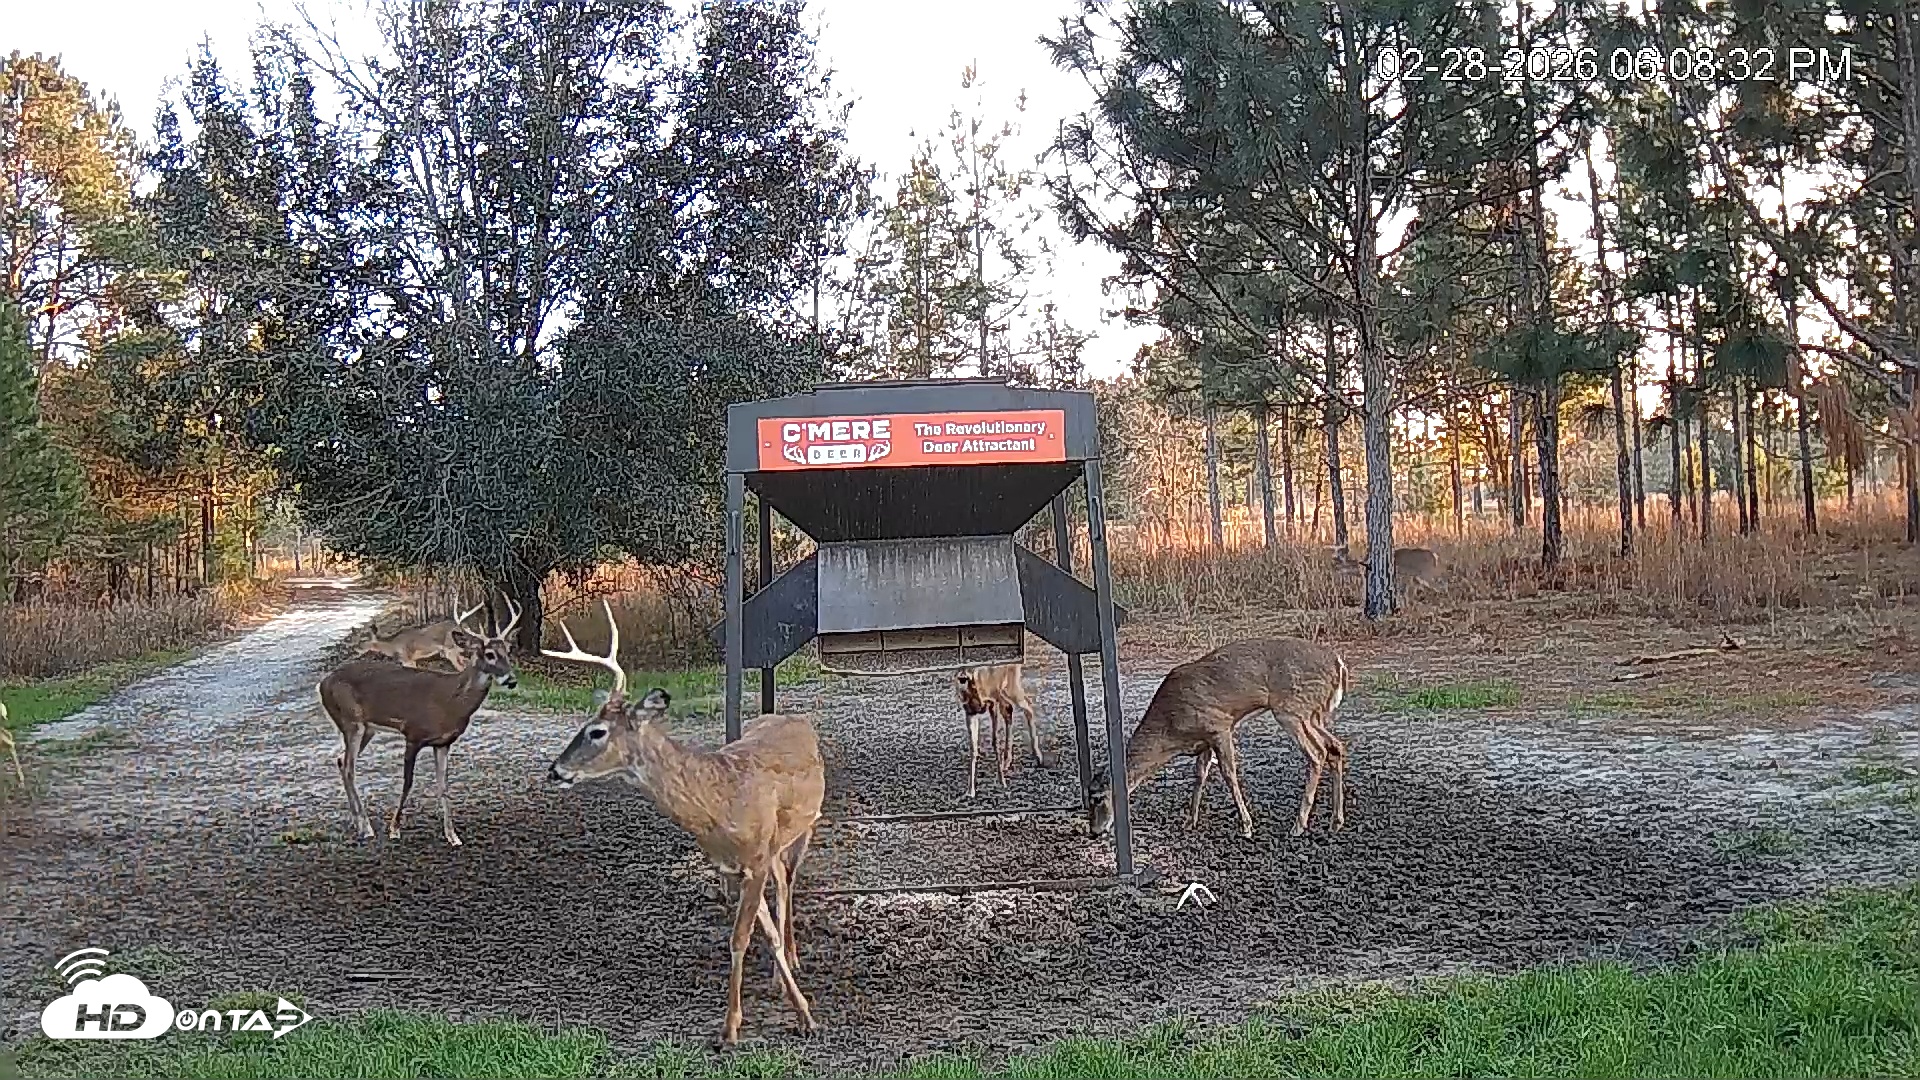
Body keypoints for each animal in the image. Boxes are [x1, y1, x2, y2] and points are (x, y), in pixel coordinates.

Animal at [541, 600, 823, 1045]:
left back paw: (792, 962)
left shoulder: (756, 860)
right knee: (783, 883)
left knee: (790, 880)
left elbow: (739, 938)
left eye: (596, 731)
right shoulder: (737, 866)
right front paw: (792, 1005)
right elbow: (763, 935)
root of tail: (796, 718)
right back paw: (783, 971)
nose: (556, 770)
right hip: (778, 844)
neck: (719, 805)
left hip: (804, 830)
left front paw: (734, 1026)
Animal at [954, 663, 1045, 798]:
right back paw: (1006, 761)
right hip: (1003, 692)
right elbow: (973, 748)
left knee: (1027, 706)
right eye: (961, 680)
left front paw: (1002, 781)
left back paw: (1038, 756)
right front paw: (970, 790)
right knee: (1009, 709)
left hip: (1010, 685)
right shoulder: (970, 712)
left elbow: (995, 741)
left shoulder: (992, 702)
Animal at [1090, 637, 1349, 841]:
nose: (1094, 831)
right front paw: (1189, 821)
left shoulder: (1219, 726)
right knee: (1335, 747)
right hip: (1312, 714)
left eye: (1097, 798)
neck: (1171, 729)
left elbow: (1229, 774)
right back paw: (1335, 822)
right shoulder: (1204, 739)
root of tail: (1338, 663)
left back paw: (1299, 825)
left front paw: (1246, 826)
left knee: (1318, 753)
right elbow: (1199, 774)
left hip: (1291, 709)